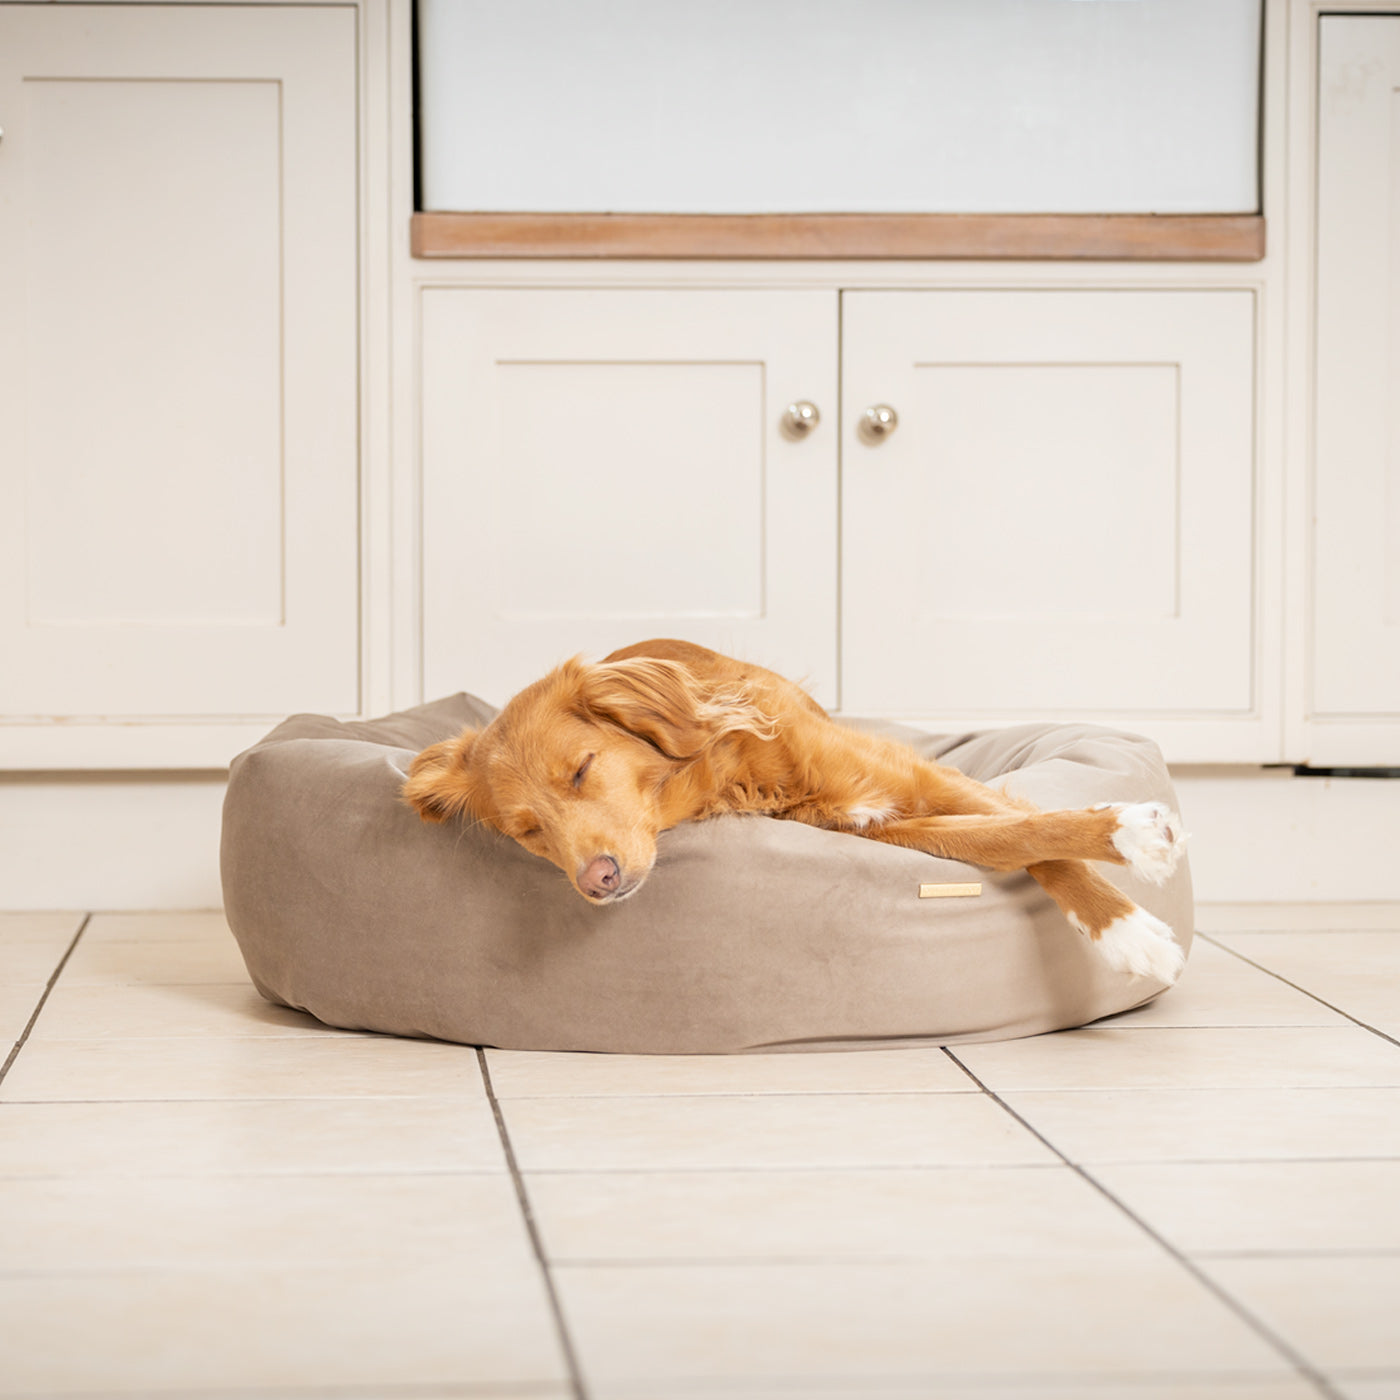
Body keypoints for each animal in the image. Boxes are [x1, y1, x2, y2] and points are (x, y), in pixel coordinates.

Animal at [403, 641, 1181, 980]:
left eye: (581, 769)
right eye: (528, 831)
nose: (597, 879)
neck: (736, 772)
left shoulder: (920, 777)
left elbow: (1029, 826)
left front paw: (1132, 860)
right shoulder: (899, 825)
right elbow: (1012, 839)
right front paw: (1128, 920)